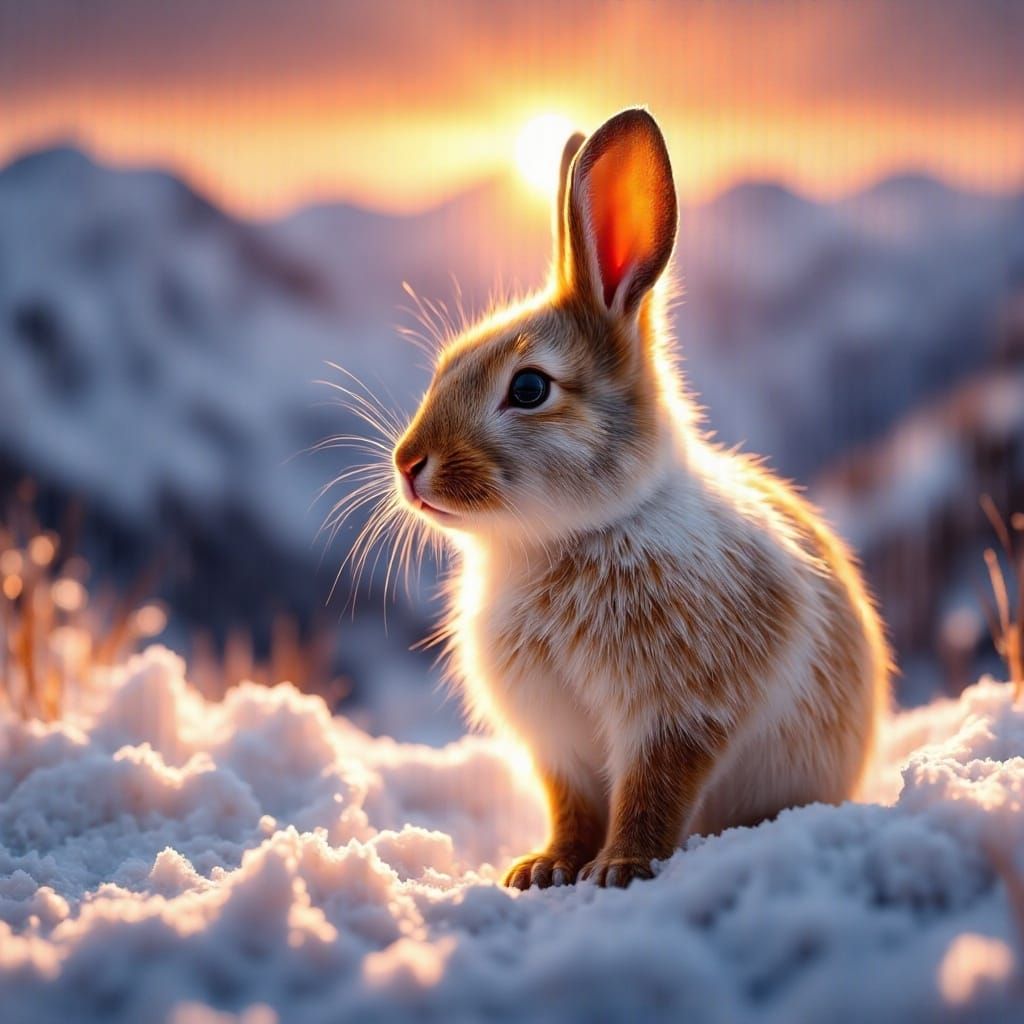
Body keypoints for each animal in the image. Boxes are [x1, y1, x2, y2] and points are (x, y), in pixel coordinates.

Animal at [391, 107, 890, 889]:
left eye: (528, 388)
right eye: (446, 365)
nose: (408, 465)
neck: (573, 535)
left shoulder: (679, 712)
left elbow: (653, 791)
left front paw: (620, 869)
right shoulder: (558, 741)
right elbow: (569, 803)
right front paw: (543, 868)